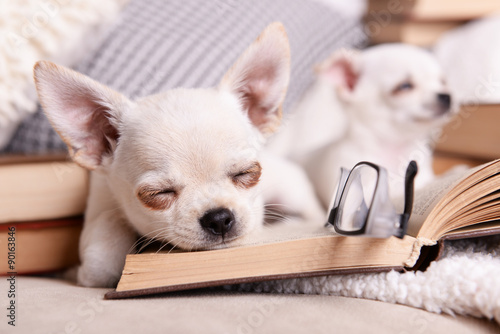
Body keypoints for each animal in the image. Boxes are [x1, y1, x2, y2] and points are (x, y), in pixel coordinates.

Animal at [35, 22, 324, 288]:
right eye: (158, 194)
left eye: (247, 173)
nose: (218, 218)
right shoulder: (100, 205)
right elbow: (103, 256)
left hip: (291, 189)